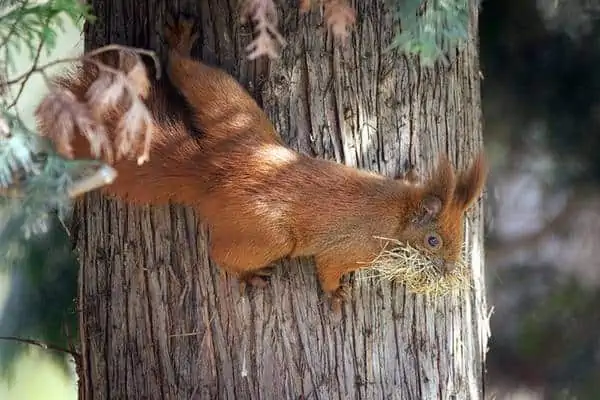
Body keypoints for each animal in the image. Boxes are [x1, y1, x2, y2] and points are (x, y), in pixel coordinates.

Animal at [35, 16, 488, 310]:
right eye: (433, 241)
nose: (449, 268)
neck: (398, 212)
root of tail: (213, 170)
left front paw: (409, 169)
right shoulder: (353, 248)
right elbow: (327, 268)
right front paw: (335, 295)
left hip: (236, 111)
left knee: (191, 74)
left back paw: (180, 45)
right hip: (267, 233)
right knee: (221, 253)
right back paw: (244, 274)